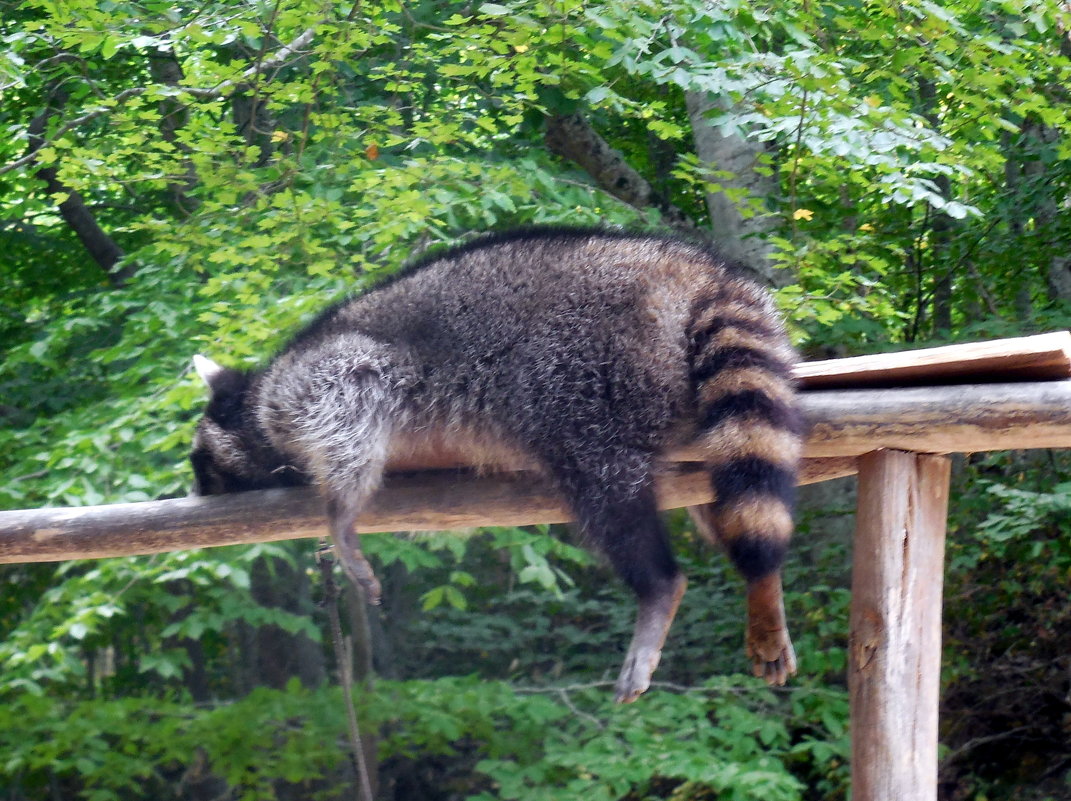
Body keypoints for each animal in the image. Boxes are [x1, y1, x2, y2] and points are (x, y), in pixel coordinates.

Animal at [188, 224, 801, 702]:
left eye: (198, 461)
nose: (194, 488)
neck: (255, 401)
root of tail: (696, 268)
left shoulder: (321, 379)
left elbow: (354, 409)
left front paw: (340, 515)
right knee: (731, 495)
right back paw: (763, 586)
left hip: (591, 376)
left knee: (607, 492)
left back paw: (657, 588)